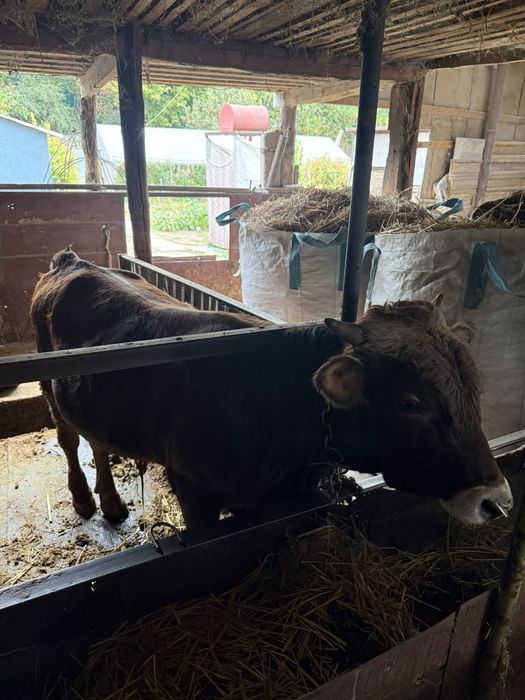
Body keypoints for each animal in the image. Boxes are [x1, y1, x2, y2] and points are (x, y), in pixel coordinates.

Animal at [30, 248, 513, 530]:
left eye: (475, 387)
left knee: (96, 440)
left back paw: (111, 500)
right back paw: (85, 499)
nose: (495, 501)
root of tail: (72, 261)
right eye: (411, 402)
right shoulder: (194, 492)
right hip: (49, 385)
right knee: (70, 439)